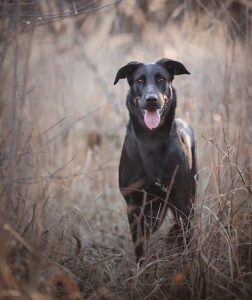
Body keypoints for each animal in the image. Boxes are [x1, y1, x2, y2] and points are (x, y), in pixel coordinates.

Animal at [114, 58, 197, 262]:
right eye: (140, 80)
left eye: (161, 79)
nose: (151, 99)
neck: (151, 139)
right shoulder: (134, 206)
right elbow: (139, 247)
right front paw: (141, 269)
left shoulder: (182, 202)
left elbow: (183, 238)